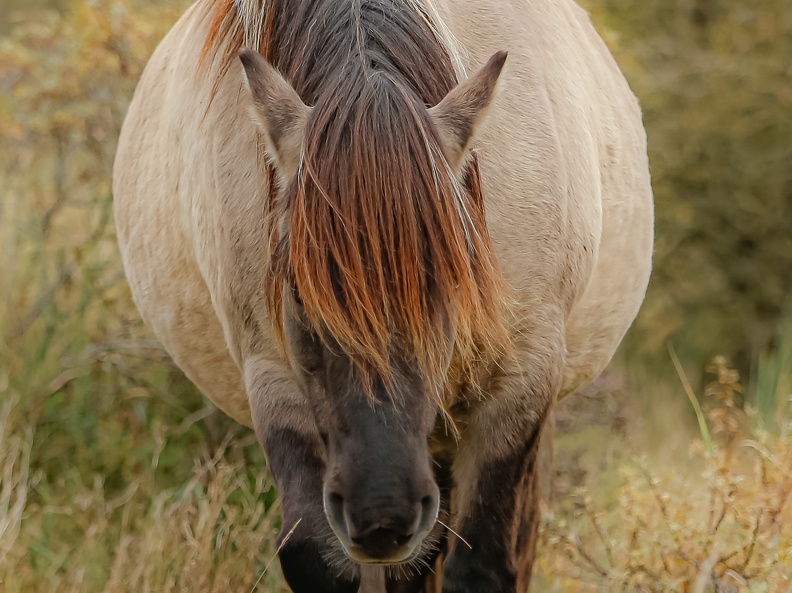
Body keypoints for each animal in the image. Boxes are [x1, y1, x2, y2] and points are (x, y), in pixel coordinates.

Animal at [113, 0, 656, 588]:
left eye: (454, 285)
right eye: (298, 295)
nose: (382, 514)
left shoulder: (523, 381)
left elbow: (482, 566)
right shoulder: (272, 378)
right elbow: (318, 556)